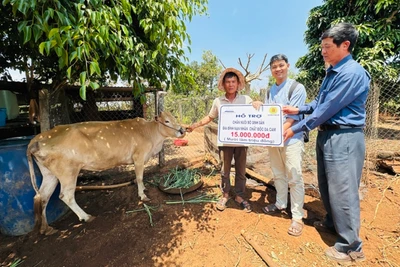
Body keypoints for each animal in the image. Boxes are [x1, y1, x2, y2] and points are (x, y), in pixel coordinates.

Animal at [26, 111, 186, 234]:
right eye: (167, 120)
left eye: (174, 118)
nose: (182, 130)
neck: (149, 133)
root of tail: (36, 139)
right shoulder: (138, 158)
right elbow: (139, 178)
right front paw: (142, 195)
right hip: (68, 172)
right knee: (66, 195)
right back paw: (86, 216)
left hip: (50, 175)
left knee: (42, 197)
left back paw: (46, 228)